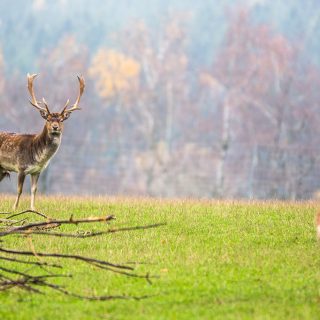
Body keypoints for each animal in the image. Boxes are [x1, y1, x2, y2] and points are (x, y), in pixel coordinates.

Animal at [0, 74, 85, 211]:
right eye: (49, 119)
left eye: (61, 120)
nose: (55, 127)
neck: (38, 157)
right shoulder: (21, 167)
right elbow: (19, 190)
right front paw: (14, 208)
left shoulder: (37, 171)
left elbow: (34, 190)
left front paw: (33, 209)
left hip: (2, 169)